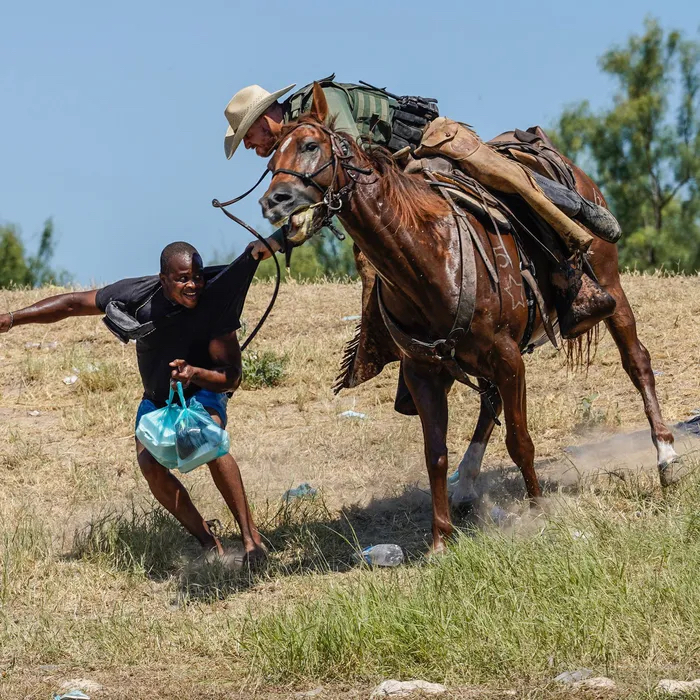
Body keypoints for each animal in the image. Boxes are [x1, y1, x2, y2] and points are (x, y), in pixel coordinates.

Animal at [258, 83, 680, 552]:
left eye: (311, 146)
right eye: (271, 161)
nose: (273, 201)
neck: (430, 256)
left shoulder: (508, 357)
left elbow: (520, 441)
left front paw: (538, 512)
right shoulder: (424, 371)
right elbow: (436, 454)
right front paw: (440, 539)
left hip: (610, 288)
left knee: (637, 361)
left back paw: (666, 457)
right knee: (489, 401)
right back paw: (466, 487)